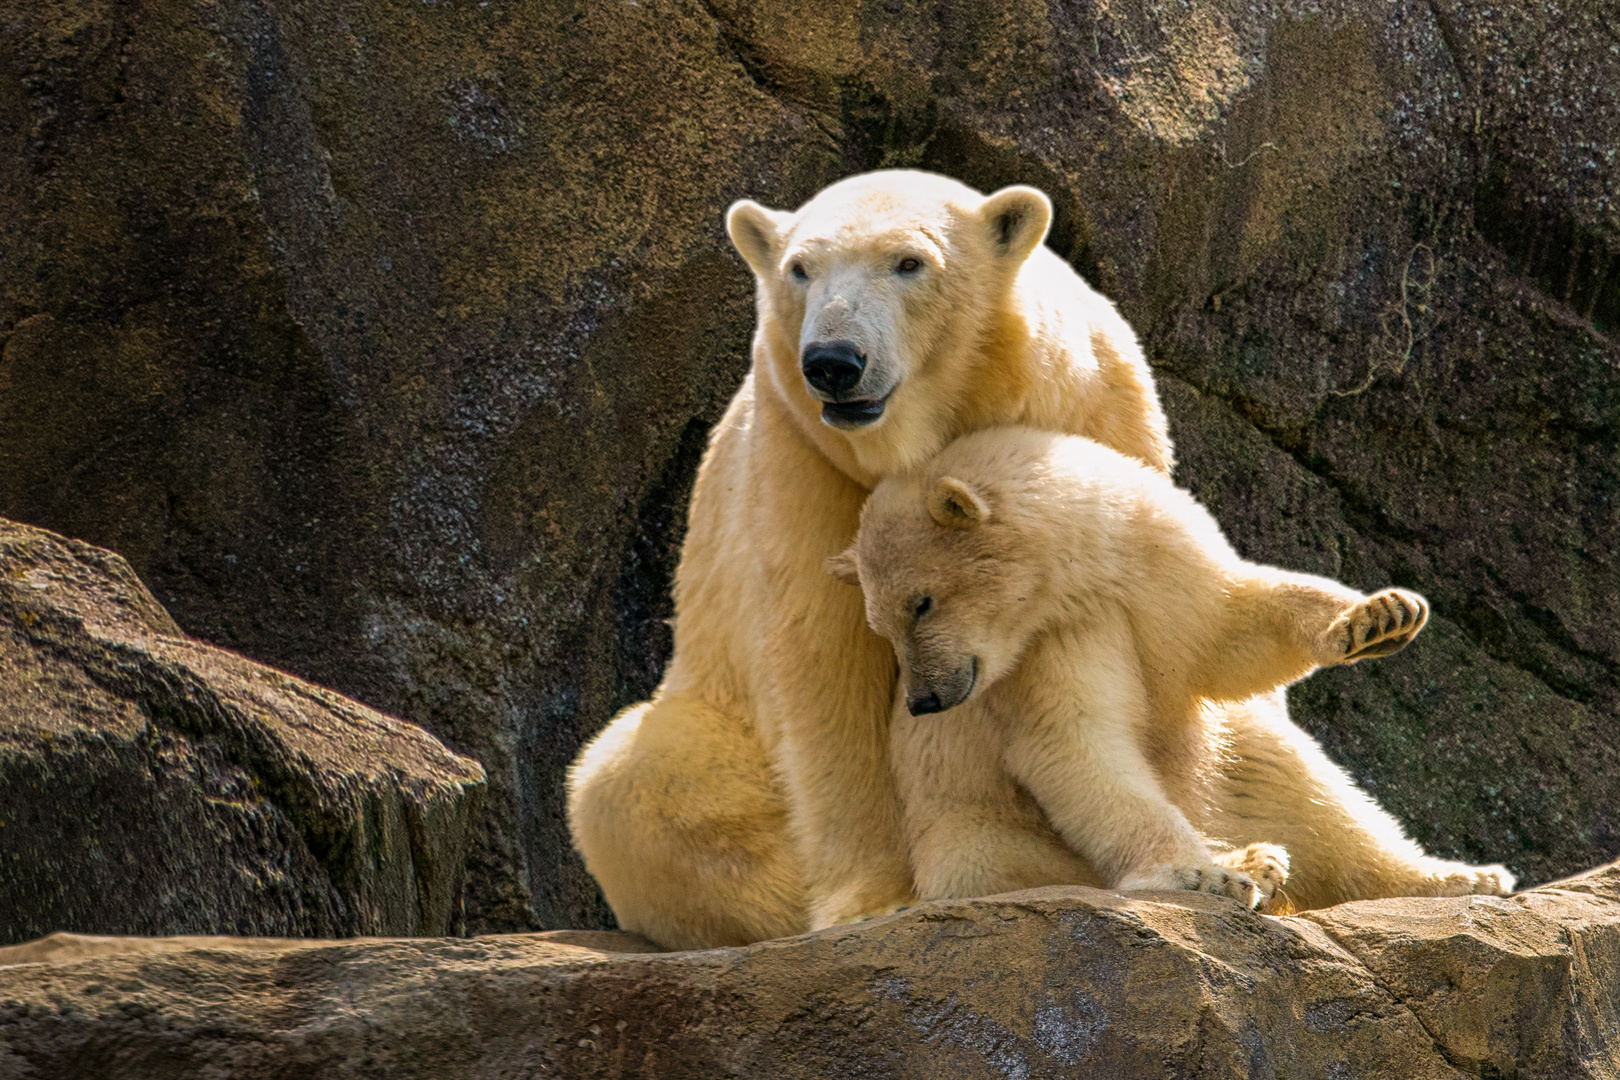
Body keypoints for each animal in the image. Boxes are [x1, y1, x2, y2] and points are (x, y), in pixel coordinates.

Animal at [576, 165, 1483, 952]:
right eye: (799, 269)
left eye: (910, 262)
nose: (833, 361)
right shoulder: (802, 467)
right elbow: (824, 664)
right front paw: (870, 901)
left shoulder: (1100, 416)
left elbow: (1198, 640)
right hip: (712, 731)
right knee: (624, 782)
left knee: (1278, 763)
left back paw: (1440, 873)